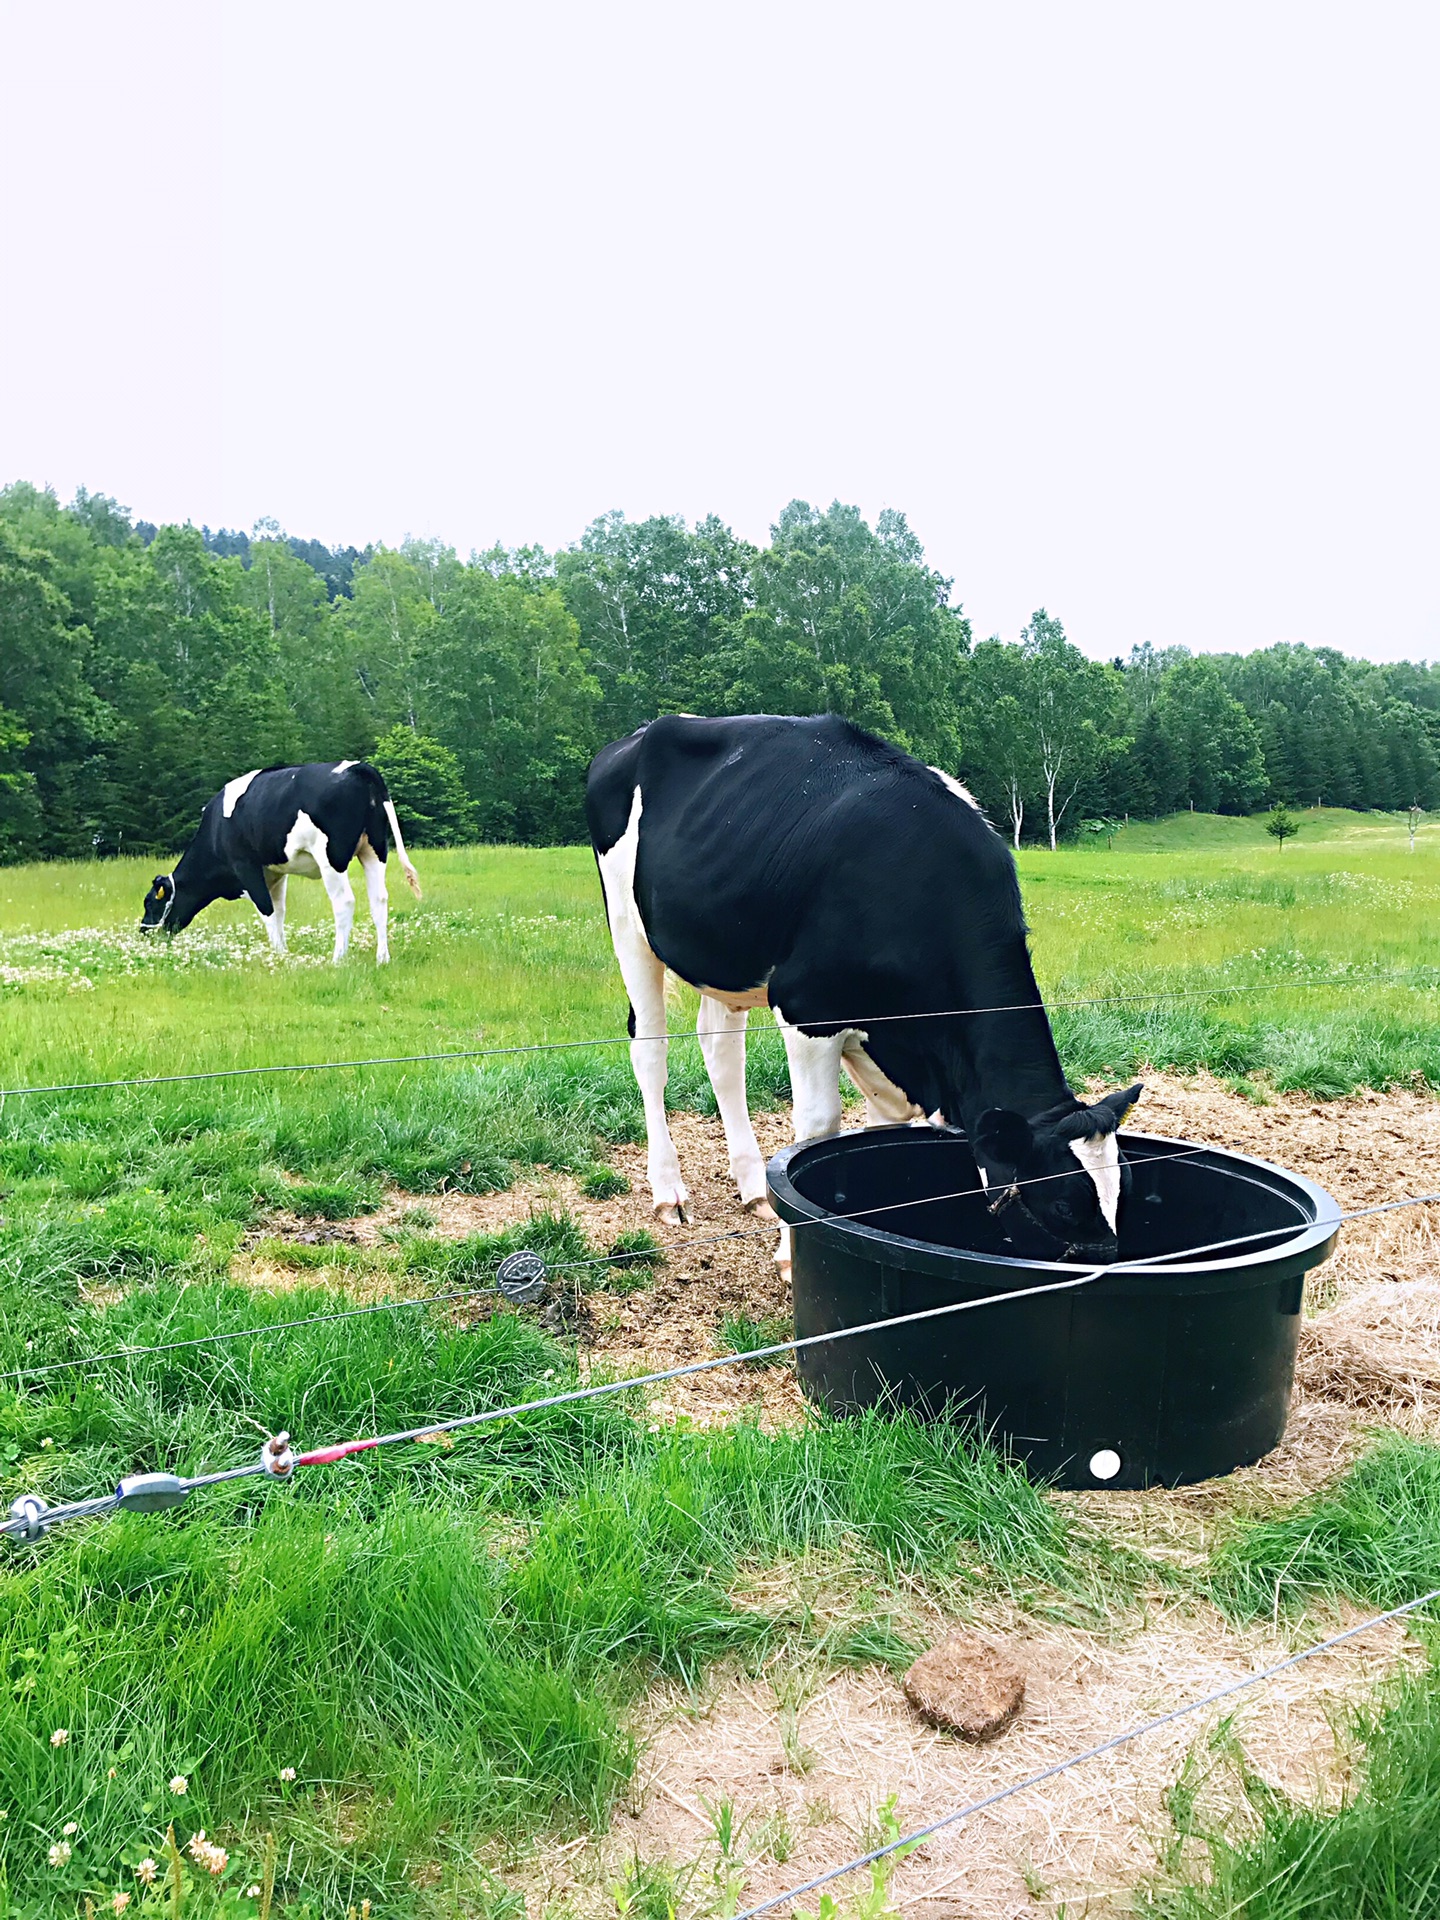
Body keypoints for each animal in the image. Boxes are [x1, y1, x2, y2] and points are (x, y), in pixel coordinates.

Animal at [140, 748, 420, 960]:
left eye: (150, 902)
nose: (143, 932)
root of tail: (359, 767)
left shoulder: (246, 866)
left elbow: (266, 909)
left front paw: (277, 956)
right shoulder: (275, 872)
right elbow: (279, 910)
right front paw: (283, 952)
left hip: (332, 857)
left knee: (344, 902)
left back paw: (338, 959)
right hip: (374, 849)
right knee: (379, 899)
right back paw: (382, 958)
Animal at [591, 714, 1144, 1267]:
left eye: (1124, 1190)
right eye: (1064, 1204)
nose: (1106, 1266)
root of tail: (643, 732)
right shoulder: (808, 1009)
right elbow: (819, 1127)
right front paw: (791, 1256)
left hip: (725, 956)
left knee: (721, 1052)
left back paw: (752, 1189)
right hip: (628, 929)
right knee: (650, 1050)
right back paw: (669, 1191)